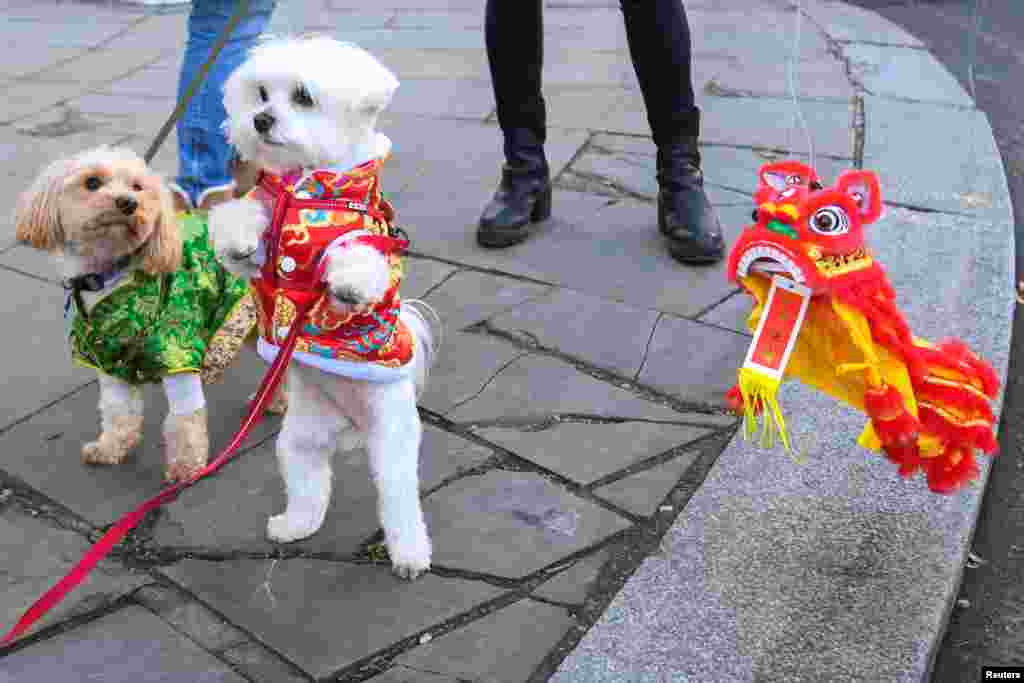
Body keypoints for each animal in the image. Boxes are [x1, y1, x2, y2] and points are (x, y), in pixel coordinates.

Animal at [14, 147, 262, 483]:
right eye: (92, 182)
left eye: (137, 187)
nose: (129, 203)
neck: (111, 276)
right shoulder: (107, 359)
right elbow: (118, 411)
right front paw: (110, 448)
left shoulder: (176, 354)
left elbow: (185, 420)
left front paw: (186, 468)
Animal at [209, 37, 442, 581]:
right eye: (261, 94)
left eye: (302, 97)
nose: (261, 120)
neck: (307, 188)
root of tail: (347, 425)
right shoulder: (266, 216)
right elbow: (240, 218)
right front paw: (237, 241)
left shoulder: (364, 237)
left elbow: (357, 258)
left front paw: (349, 285)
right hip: (300, 440)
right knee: (310, 488)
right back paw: (294, 526)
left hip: (391, 441)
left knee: (399, 501)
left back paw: (410, 555)